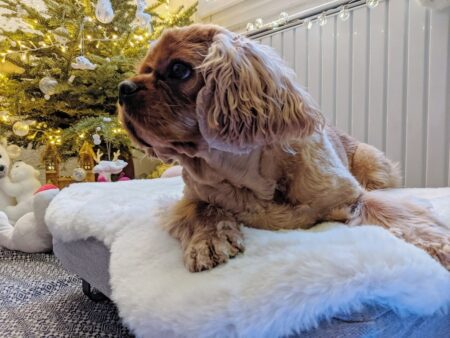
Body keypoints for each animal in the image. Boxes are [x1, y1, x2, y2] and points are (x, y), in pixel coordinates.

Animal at [118, 24, 448, 272]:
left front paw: (440, 247)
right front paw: (207, 241)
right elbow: (203, 209)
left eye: (178, 69)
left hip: (373, 163)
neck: (245, 173)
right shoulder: (190, 197)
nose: (123, 88)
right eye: (143, 69)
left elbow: (396, 213)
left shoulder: (353, 197)